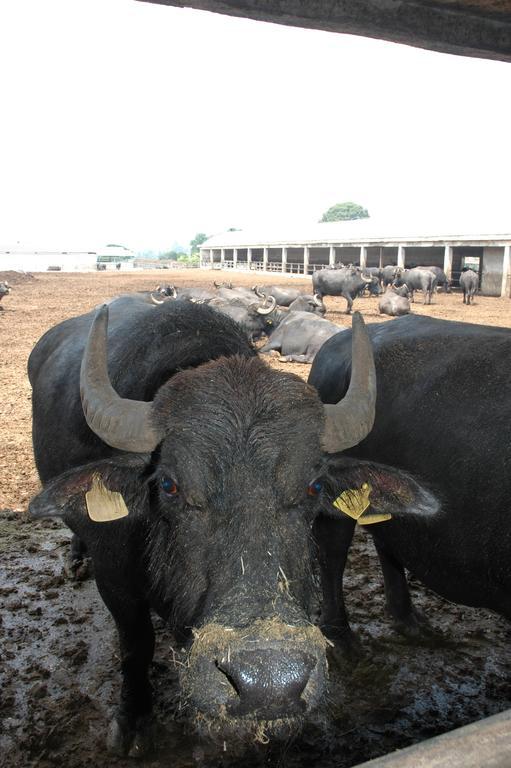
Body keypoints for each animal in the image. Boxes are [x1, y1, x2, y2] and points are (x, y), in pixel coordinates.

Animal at [29, 300, 380, 756]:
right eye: (169, 485)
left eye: (314, 486)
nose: (268, 683)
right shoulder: (115, 577)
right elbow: (136, 643)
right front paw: (133, 719)